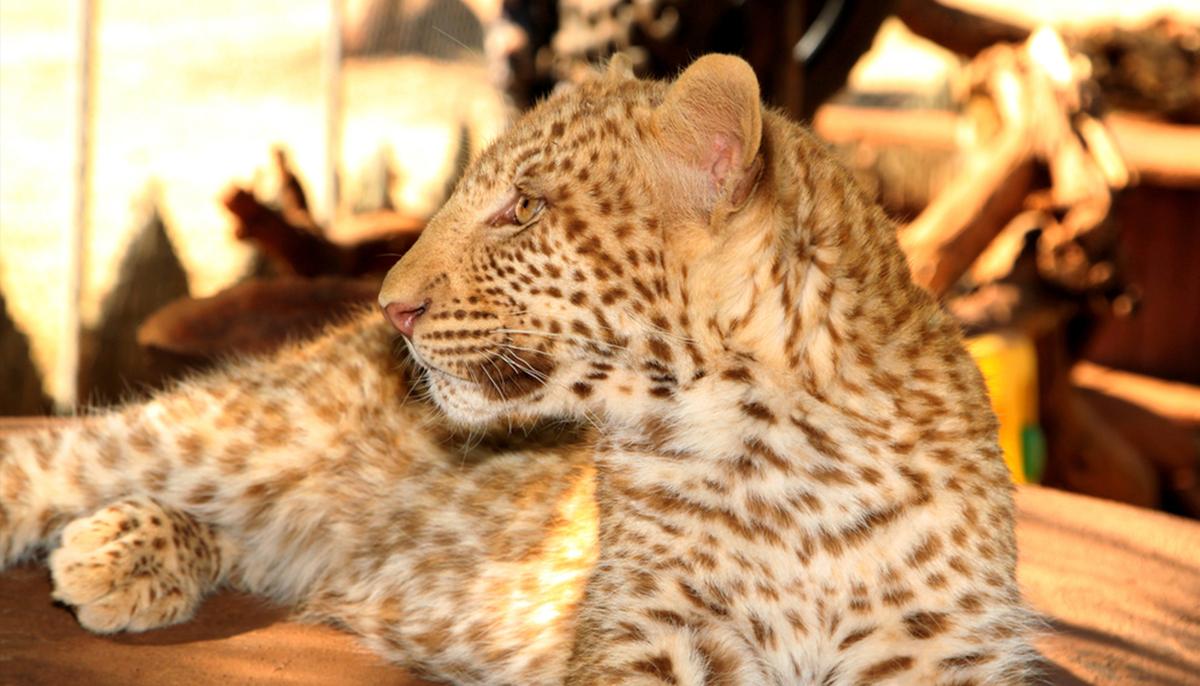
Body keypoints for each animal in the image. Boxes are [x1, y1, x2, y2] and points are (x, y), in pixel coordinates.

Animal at [1, 54, 1037, 684]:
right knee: (50, 459)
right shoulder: (650, 635)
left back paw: (123, 552)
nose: (393, 308)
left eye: (524, 210)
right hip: (235, 432)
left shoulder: (942, 654)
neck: (785, 459)